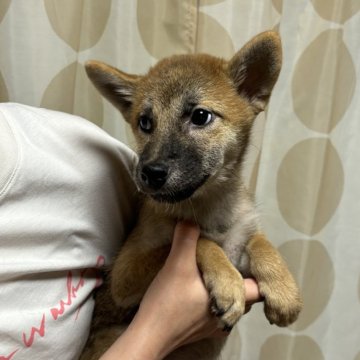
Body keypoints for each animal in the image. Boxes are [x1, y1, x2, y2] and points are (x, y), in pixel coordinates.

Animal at [82, 31, 304, 360]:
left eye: (200, 116)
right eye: (145, 122)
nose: (149, 172)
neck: (210, 207)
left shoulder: (241, 239)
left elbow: (260, 243)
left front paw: (284, 288)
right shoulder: (124, 275)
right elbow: (199, 241)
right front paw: (227, 283)